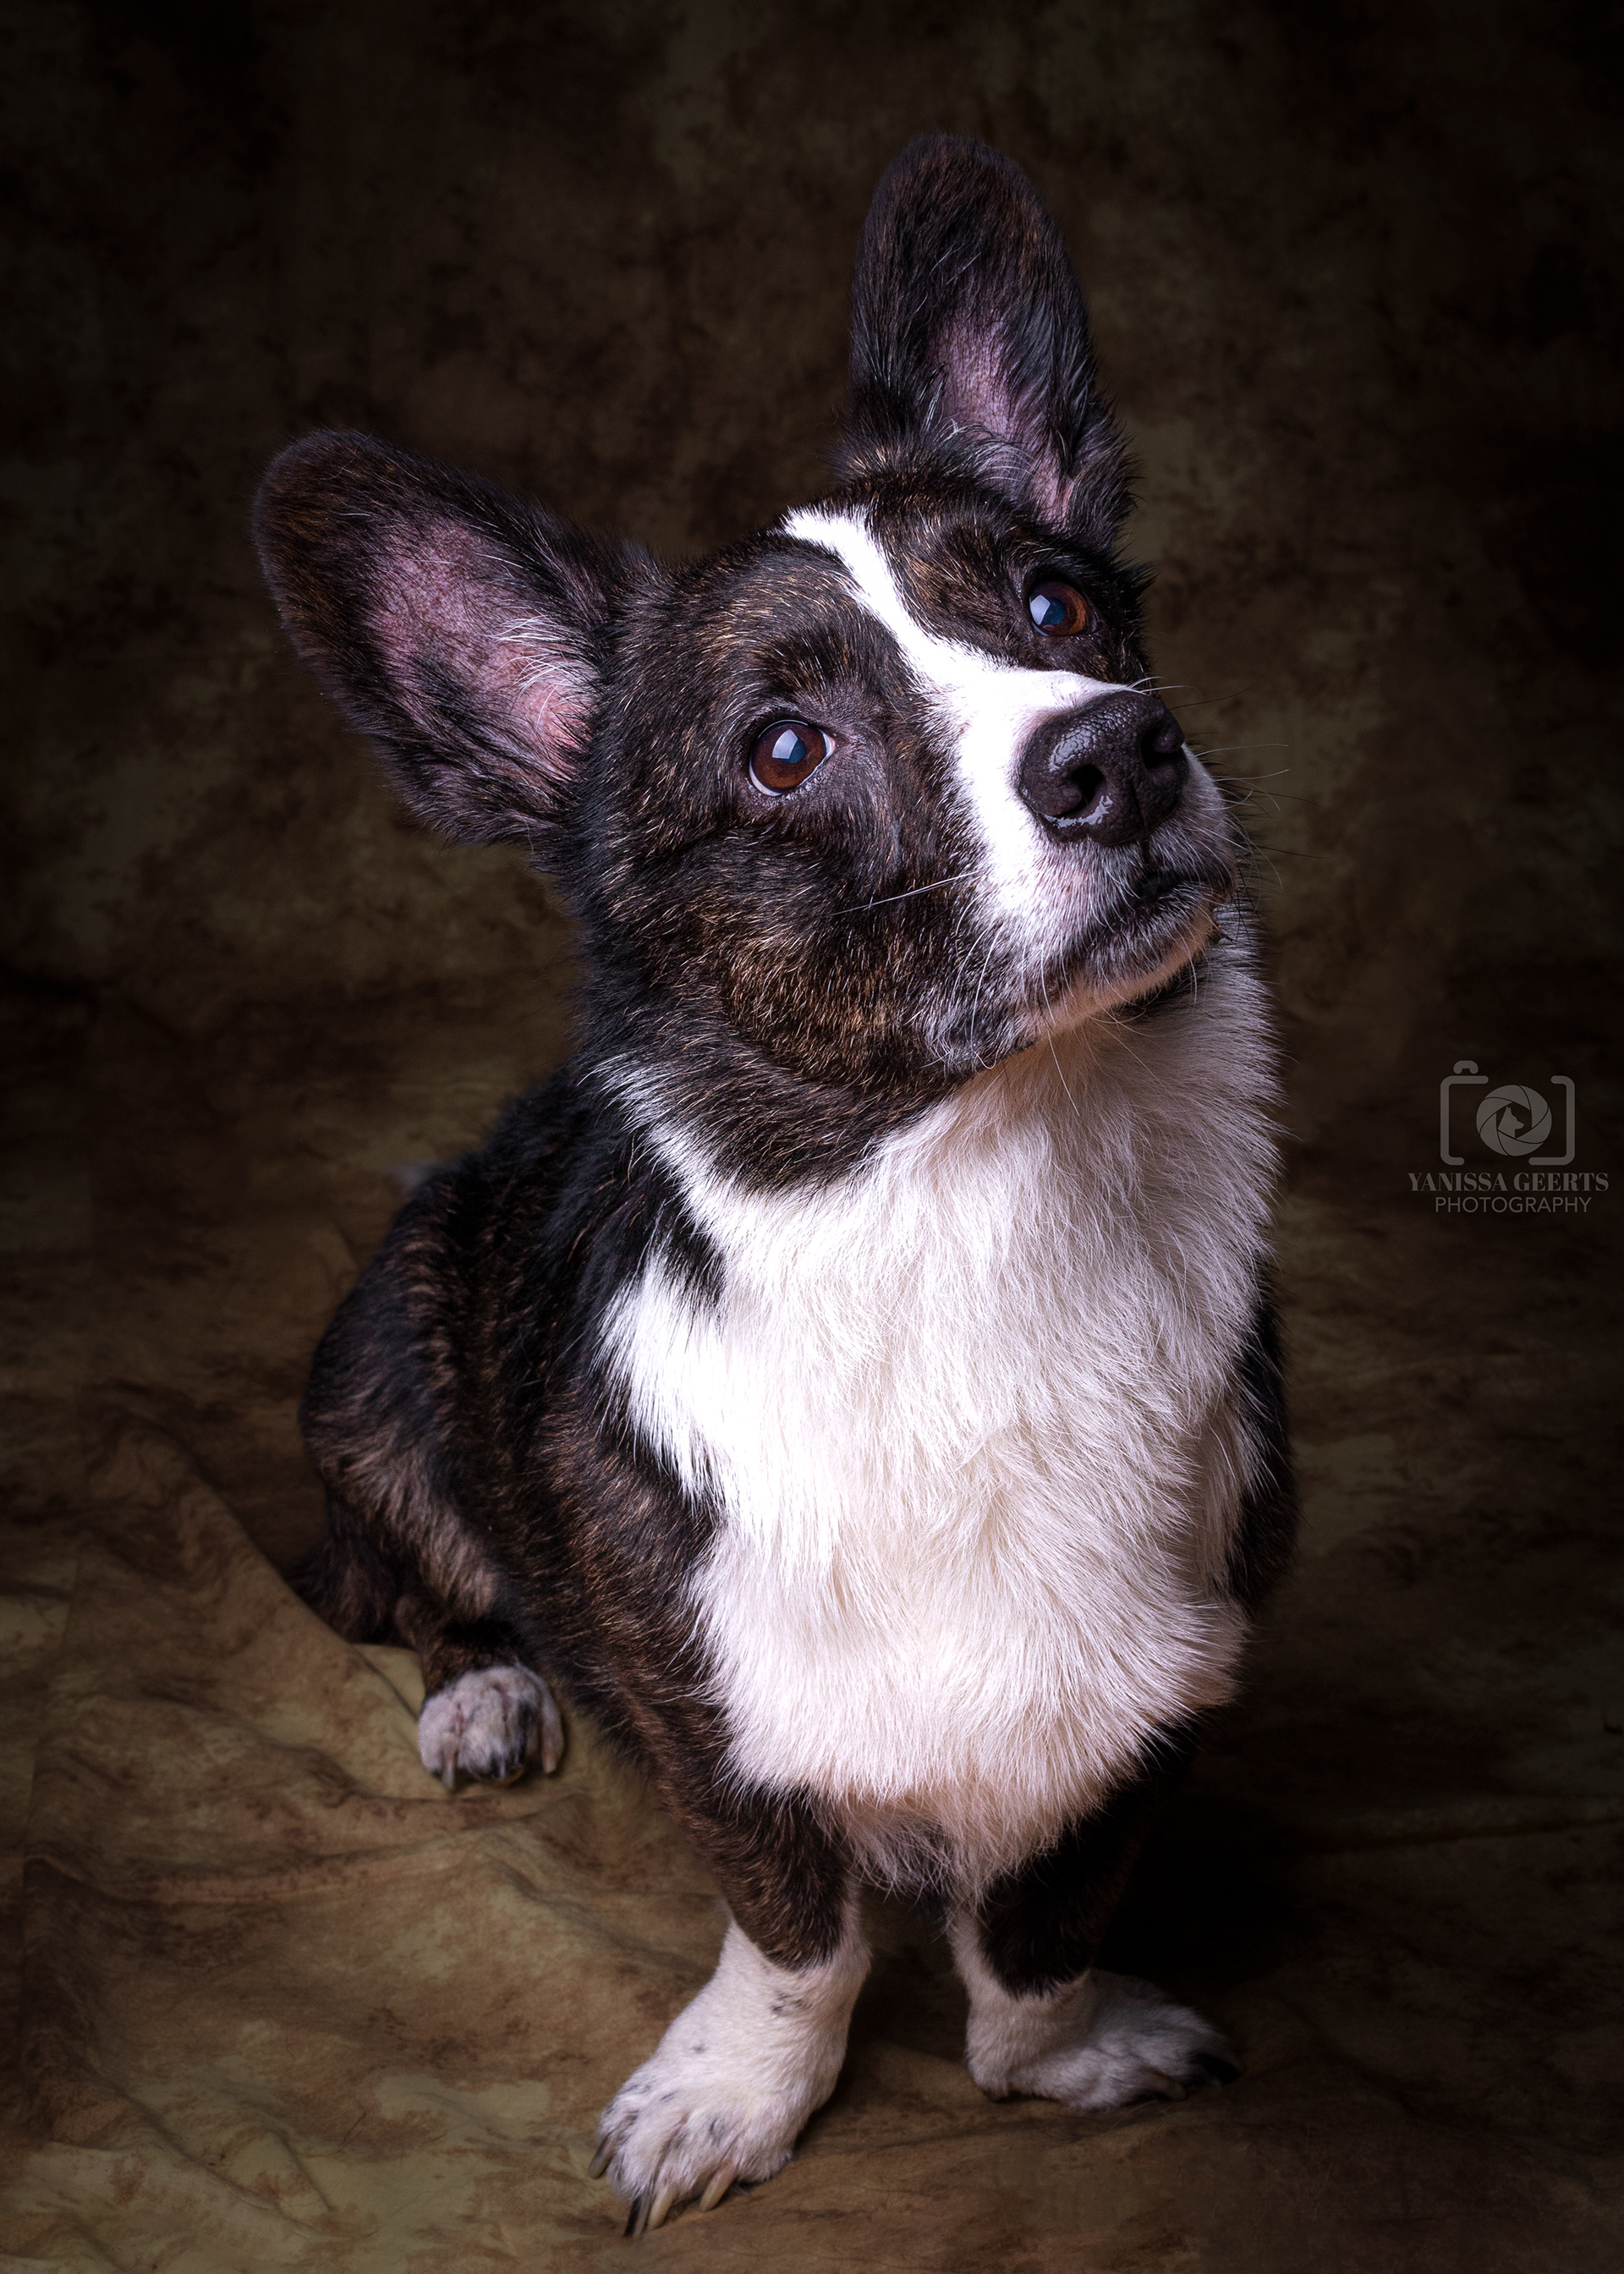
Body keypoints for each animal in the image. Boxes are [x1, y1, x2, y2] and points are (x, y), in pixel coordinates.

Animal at [254, 133, 1293, 2235]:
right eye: (788, 749)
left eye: (1062, 605)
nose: (1126, 751)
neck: (985, 1208)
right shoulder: (712, 1729)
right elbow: (798, 1935)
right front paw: (735, 2096)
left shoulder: (1158, 1704)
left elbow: (1037, 1939)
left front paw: (1067, 2056)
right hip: (382, 1362)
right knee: (419, 1589)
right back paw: (484, 1692)